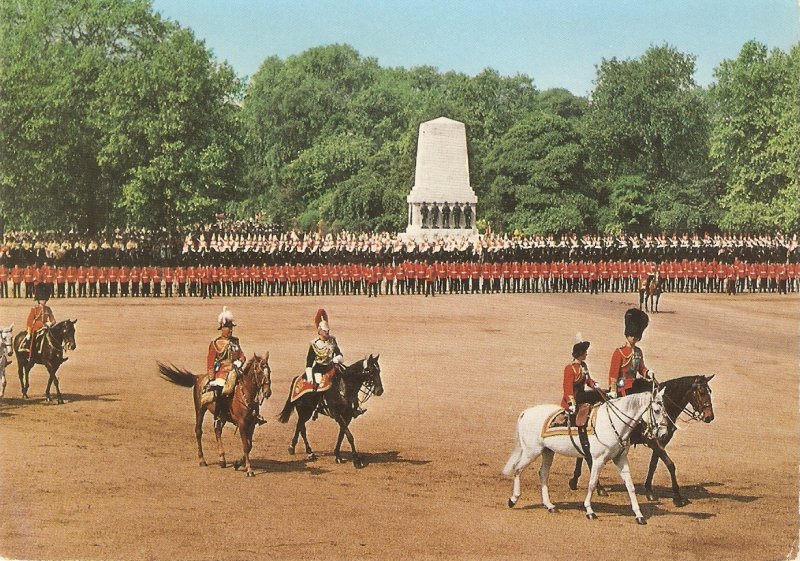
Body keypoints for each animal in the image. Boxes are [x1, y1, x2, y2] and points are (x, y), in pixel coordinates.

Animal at [504, 390, 664, 524]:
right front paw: (589, 511)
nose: (663, 434)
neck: (612, 423)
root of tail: (526, 412)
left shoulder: (621, 459)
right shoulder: (598, 460)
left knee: (543, 474)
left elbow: (630, 486)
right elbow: (592, 483)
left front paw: (639, 515)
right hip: (531, 451)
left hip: (547, 452)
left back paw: (550, 505)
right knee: (517, 469)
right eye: (656, 410)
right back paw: (513, 499)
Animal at [564, 374, 716, 506]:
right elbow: (670, 465)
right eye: (702, 392)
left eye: (710, 391)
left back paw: (576, 481)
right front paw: (677, 497)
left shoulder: (662, 440)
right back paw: (598, 488)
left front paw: (649, 490)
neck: (664, 406)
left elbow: (653, 464)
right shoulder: (653, 441)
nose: (710, 416)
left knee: (583, 455)